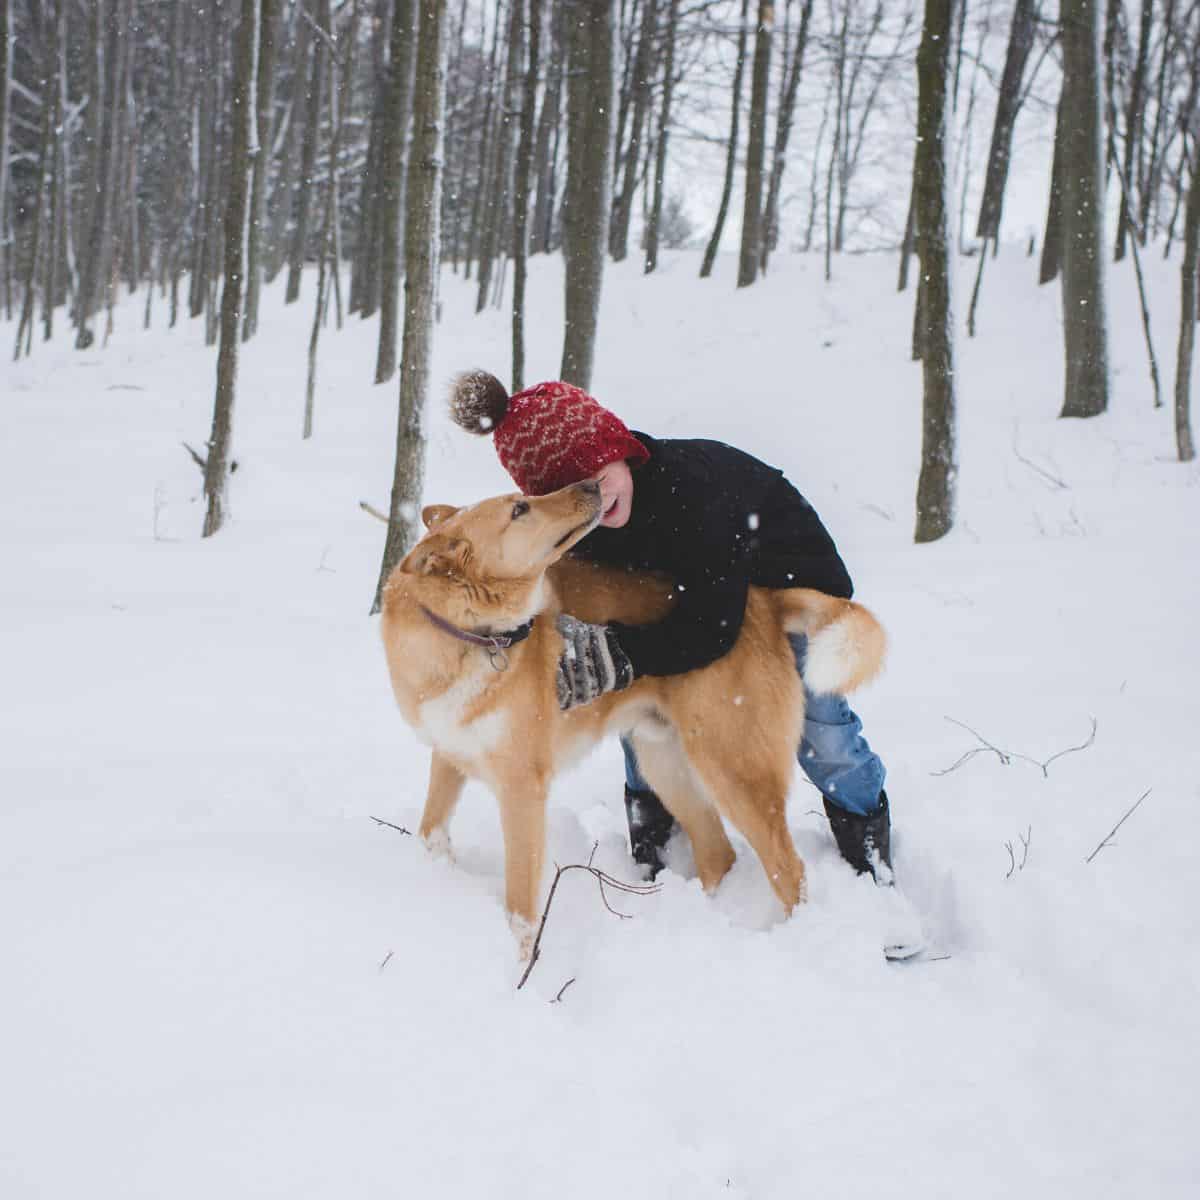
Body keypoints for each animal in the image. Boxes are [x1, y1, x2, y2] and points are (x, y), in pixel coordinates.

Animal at [379, 480, 888, 955]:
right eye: (519, 509)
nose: (590, 484)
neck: (463, 634)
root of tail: (762, 600)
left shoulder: (523, 788)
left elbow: (521, 904)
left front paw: (522, 964)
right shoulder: (448, 755)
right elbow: (430, 831)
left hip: (734, 770)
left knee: (789, 868)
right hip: (665, 764)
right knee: (718, 853)